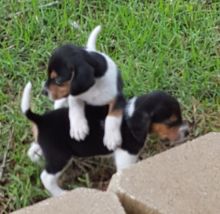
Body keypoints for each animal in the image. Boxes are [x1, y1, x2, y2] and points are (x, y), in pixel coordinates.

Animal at [21, 83, 189, 196]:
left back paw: (37, 158)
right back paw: (60, 193)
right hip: (60, 157)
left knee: (32, 150)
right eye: (171, 121)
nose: (187, 132)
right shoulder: (126, 155)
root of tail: (41, 120)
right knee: (46, 177)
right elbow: (125, 169)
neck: (132, 115)